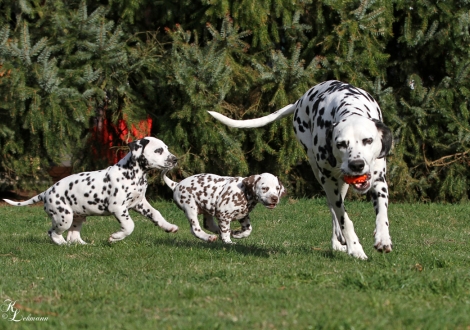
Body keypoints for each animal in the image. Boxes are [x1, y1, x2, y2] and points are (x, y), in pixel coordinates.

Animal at [3, 137, 180, 245]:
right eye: (158, 151)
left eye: (166, 148)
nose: (175, 159)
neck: (133, 174)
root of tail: (46, 192)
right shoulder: (118, 207)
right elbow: (129, 225)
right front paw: (115, 237)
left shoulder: (139, 203)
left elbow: (156, 213)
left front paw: (168, 226)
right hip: (64, 217)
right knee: (53, 232)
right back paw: (62, 244)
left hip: (78, 217)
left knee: (73, 236)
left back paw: (83, 245)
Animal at [209, 80, 392, 260]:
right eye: (341, 144)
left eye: (368, 140)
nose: (357, 164)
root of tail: (300, 100)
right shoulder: (329, 181)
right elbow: (344, 218)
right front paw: (355, 248)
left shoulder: (378, 180)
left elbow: (382, 214)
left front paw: (383, 238)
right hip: (320, 172)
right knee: (332, 206)